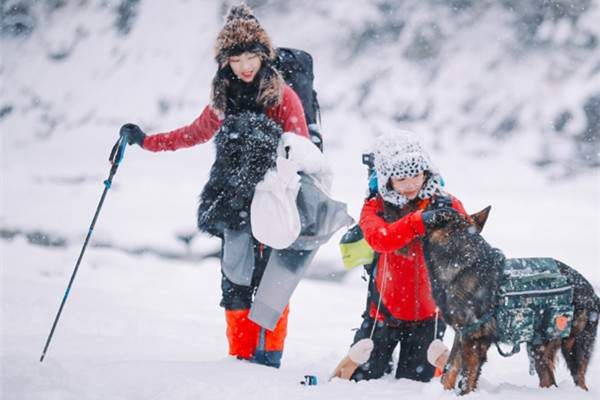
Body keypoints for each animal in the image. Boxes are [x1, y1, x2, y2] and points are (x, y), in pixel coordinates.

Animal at [422, 208, 600, 396]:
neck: (460, 262)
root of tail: (591, 293)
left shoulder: (474, 340)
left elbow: (465, 379)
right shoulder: (462, 333)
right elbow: (449, 371)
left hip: (573, 348)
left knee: (579, 382)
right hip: (540, 349)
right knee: (549, 381)